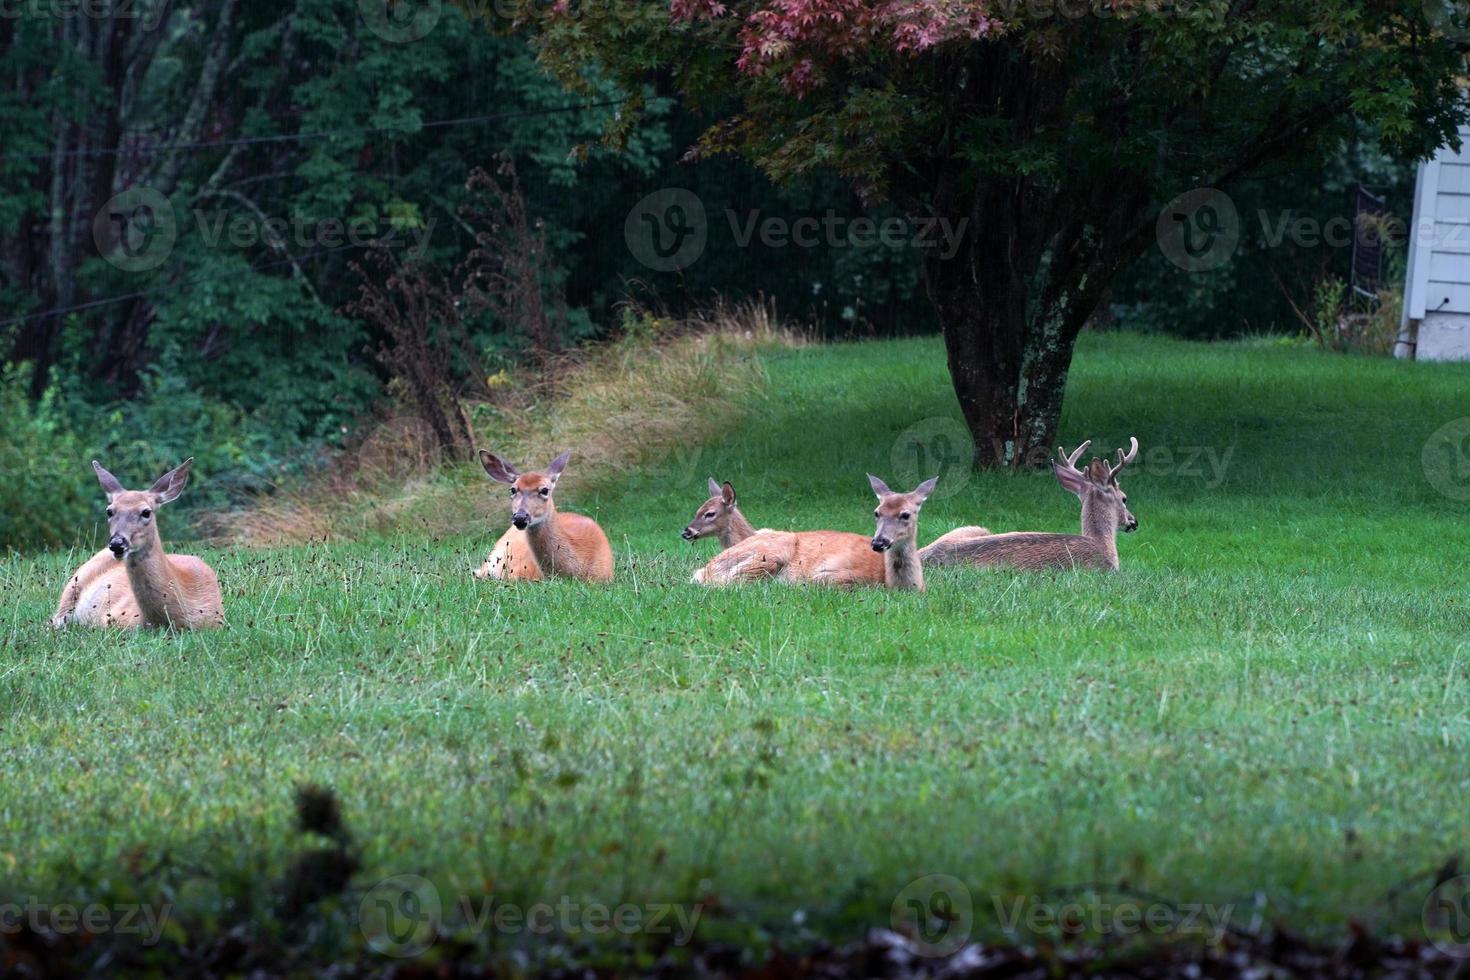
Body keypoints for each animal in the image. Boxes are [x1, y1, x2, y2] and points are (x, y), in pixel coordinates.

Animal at [690, 473, 940, 590]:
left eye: (906, 514)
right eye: (876, 512)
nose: (879, 542)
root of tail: (706, 568)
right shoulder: (832, 575)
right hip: (771, 551)